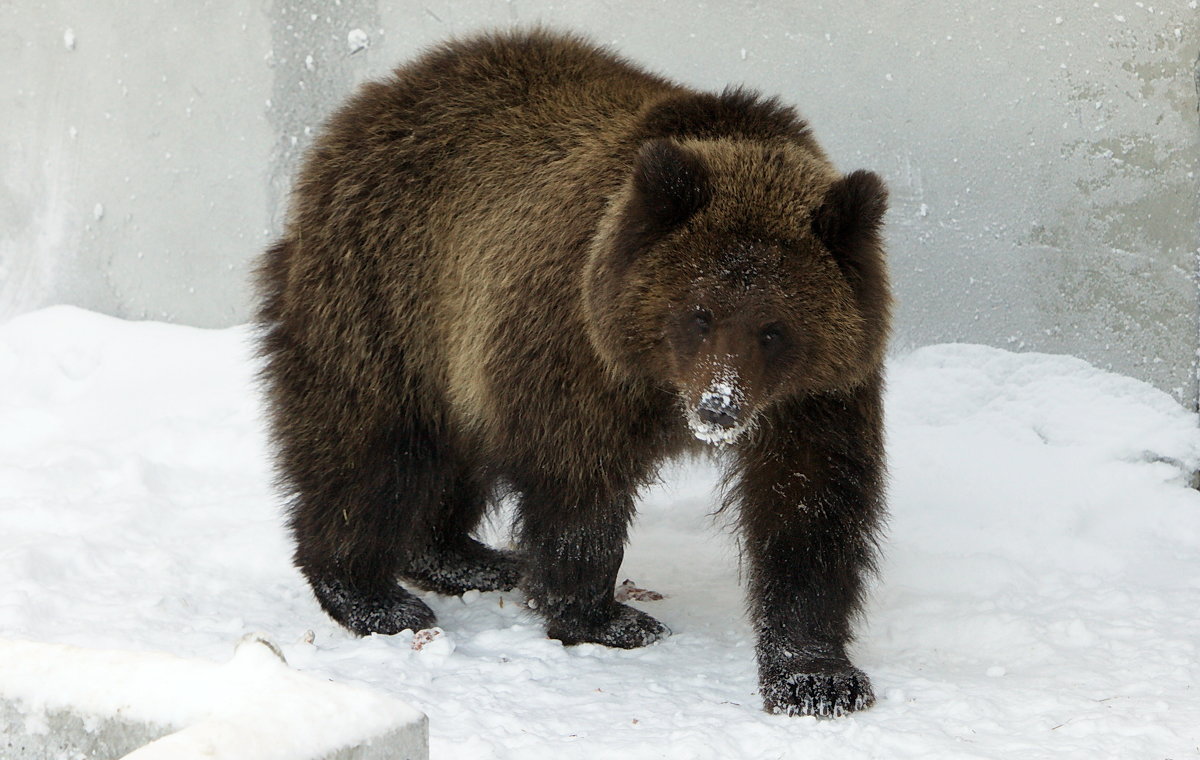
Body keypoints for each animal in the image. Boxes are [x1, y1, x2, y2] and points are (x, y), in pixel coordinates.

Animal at [255, 29, 892, 715]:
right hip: (385, 298)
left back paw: (464, 557)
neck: (660, 386)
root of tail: (373, 99)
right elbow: (578, 489)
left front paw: (816, 675)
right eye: (699, 314)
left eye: (774, 328)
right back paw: (373, 596)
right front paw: (607, 618)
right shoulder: (578, 354)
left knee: (453, 456)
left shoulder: (820, 395)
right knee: (371, 450)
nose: (718, 408)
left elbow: (809, 508)